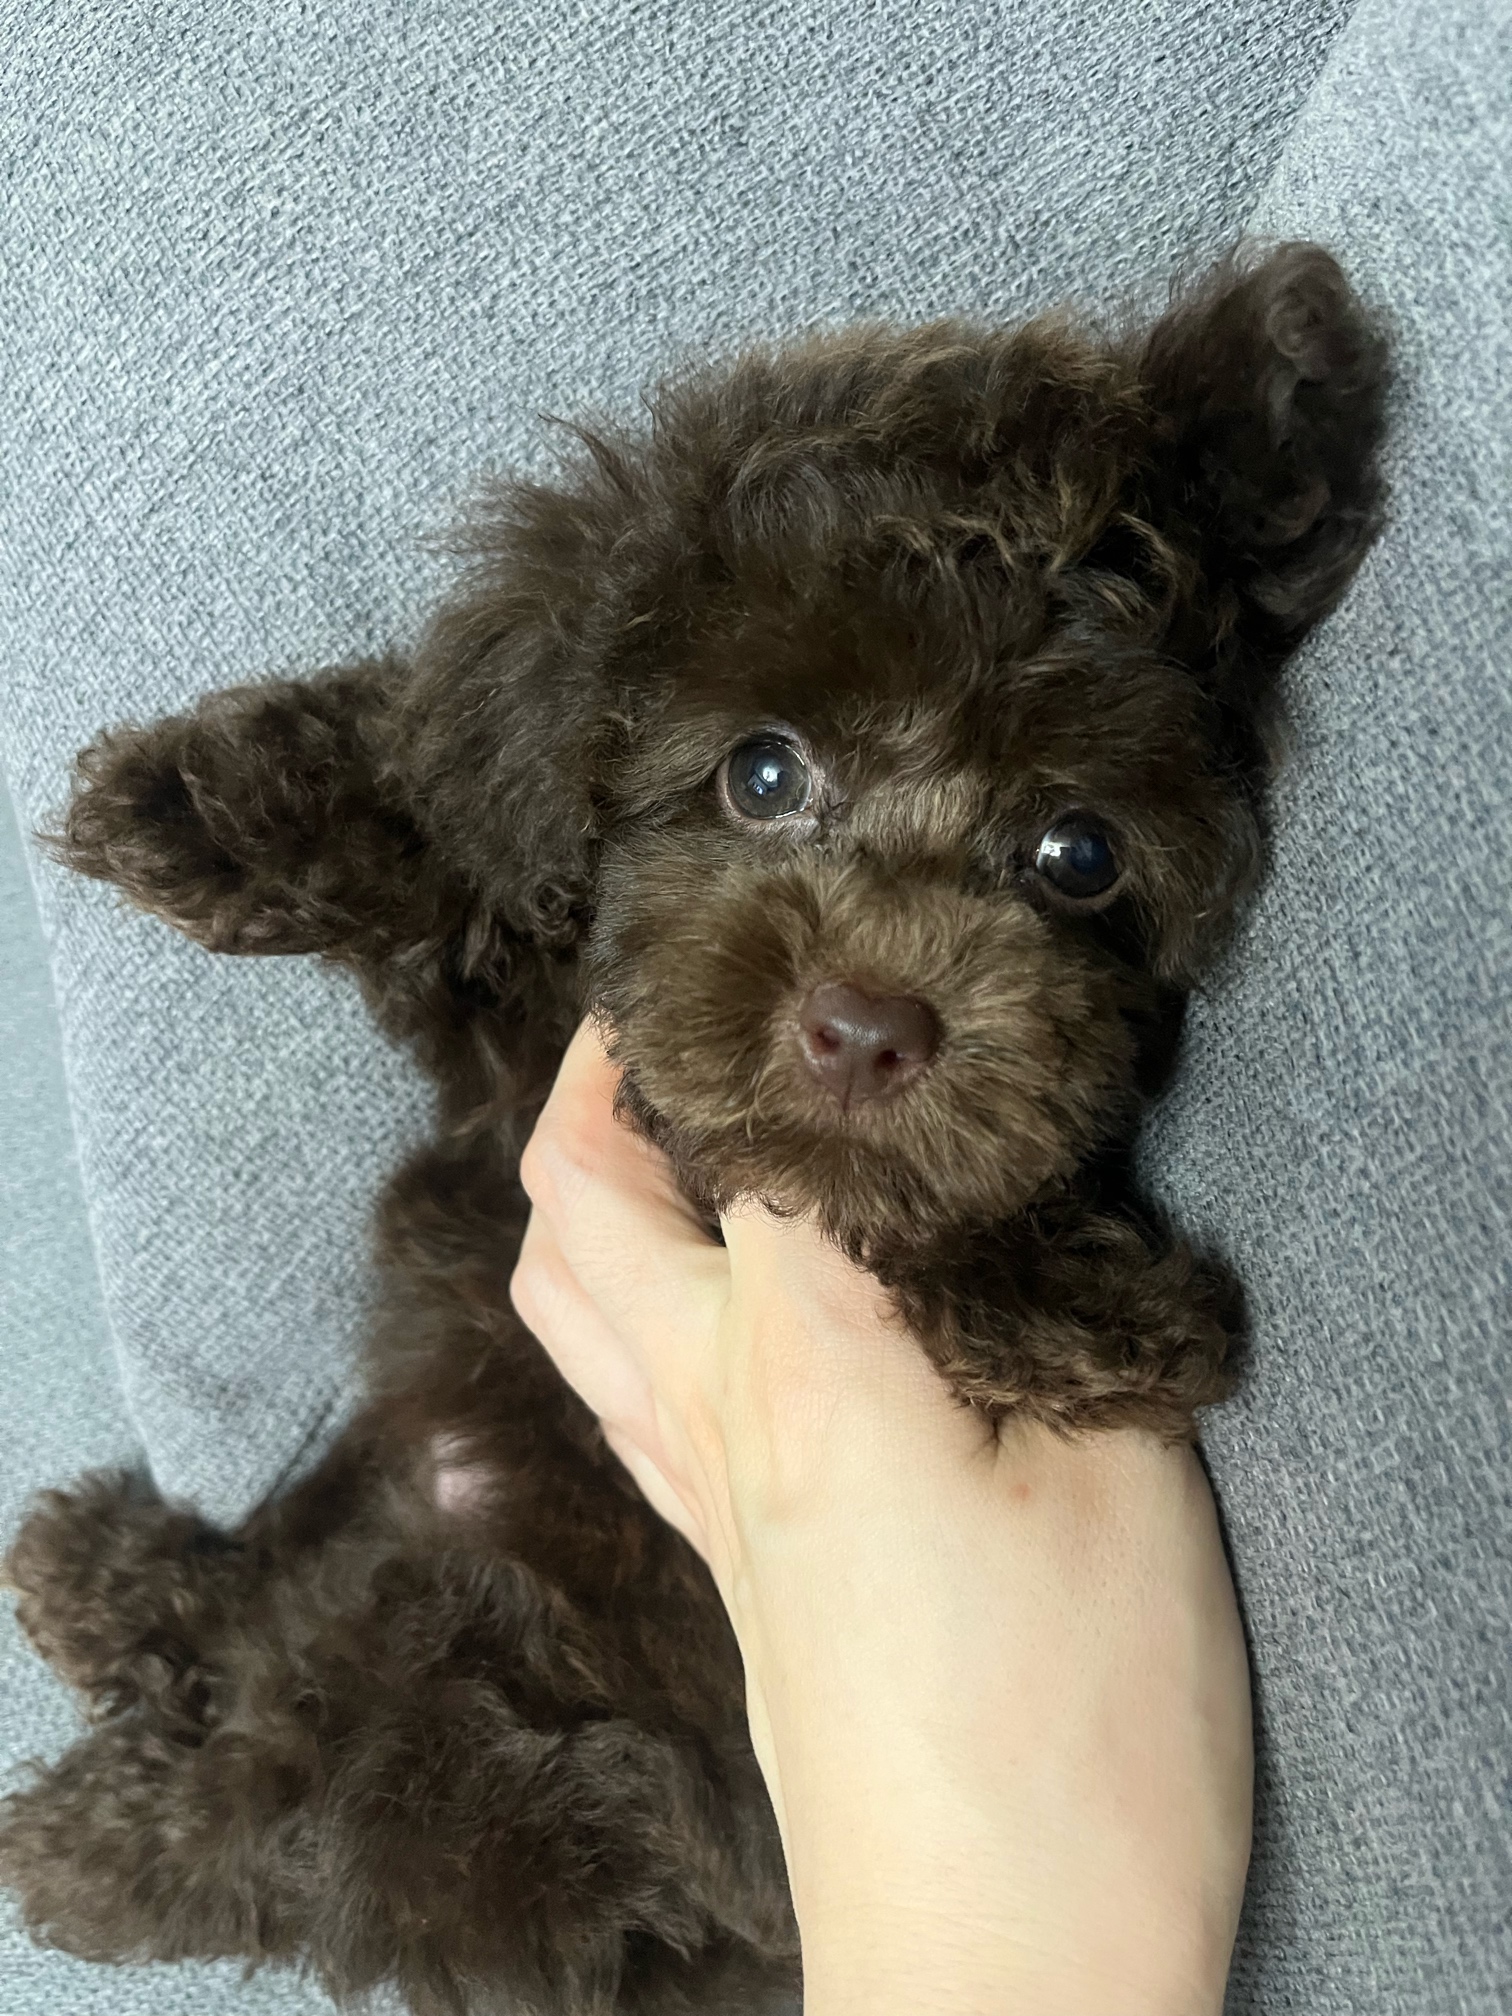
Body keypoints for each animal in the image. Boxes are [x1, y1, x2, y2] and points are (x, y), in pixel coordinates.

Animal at [0, 243, 1386, 2015]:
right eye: (762, 773)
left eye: (1078, 854)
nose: (868, 1026)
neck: (696, 1149)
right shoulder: (530, 1028)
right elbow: (461, 840)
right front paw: (193, 801)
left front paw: (1057, 1289)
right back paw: (106, 1582)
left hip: (513, 1744)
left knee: (311, 1797)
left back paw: (97, 1812)